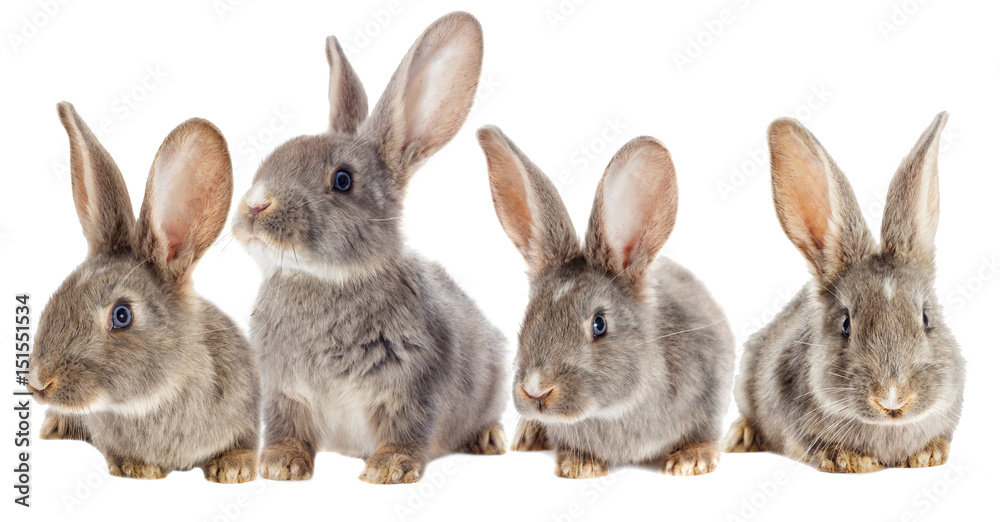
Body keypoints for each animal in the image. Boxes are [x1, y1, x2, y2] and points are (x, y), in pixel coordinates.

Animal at [230, 12, 507, 484]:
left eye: (343, 180)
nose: (255, 205)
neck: (328, 280)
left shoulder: (412, 385)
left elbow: (407, 427)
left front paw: (389, 469)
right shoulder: (285, 393)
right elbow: (288, 427)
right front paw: (280, 464)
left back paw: (489, 439)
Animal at [477, 126, 735, 478]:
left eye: (599, 325)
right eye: (528, 317)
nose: (537, 391)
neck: (614, 409)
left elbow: (705, 433)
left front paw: (690, 461)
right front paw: (580, 465)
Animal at [724, 113, 966, 473]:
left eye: (925, 319)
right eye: (845, 325)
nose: (892, 399)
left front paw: (927, 455)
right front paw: (853, 460)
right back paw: (740, 437)